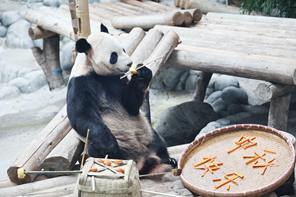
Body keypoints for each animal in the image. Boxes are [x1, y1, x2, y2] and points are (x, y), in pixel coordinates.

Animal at [66, 24, 176, 174]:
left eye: (123, 49)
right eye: (114, 56)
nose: (130, 63)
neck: (95, 72)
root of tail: (142, 158)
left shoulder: (118, 81)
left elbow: (131, 105)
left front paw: (142, 74)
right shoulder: (80, 84)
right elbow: (81, 115)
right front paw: (108, 144)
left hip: (147, 133)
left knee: (158, 141)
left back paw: (167, 160)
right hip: (116, 148)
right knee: (98, 149)